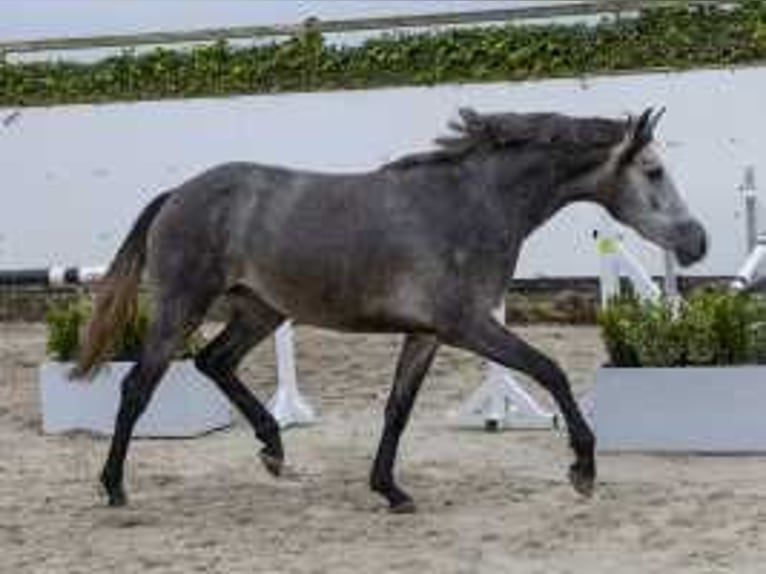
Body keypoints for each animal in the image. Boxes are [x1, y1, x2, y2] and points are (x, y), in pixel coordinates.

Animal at [72, 106, 708, 516]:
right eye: (653, 171)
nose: (697, 242)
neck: (472, 203)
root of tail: (177, 195)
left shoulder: (428, 333)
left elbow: (397, 410)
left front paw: (391, 491)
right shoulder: (468, 325)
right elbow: (550, 371)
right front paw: (583, 471)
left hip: (261, 312)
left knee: (214, 363)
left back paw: (274, 450)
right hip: (182, 307)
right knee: (138, 387)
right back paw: (113, 487)